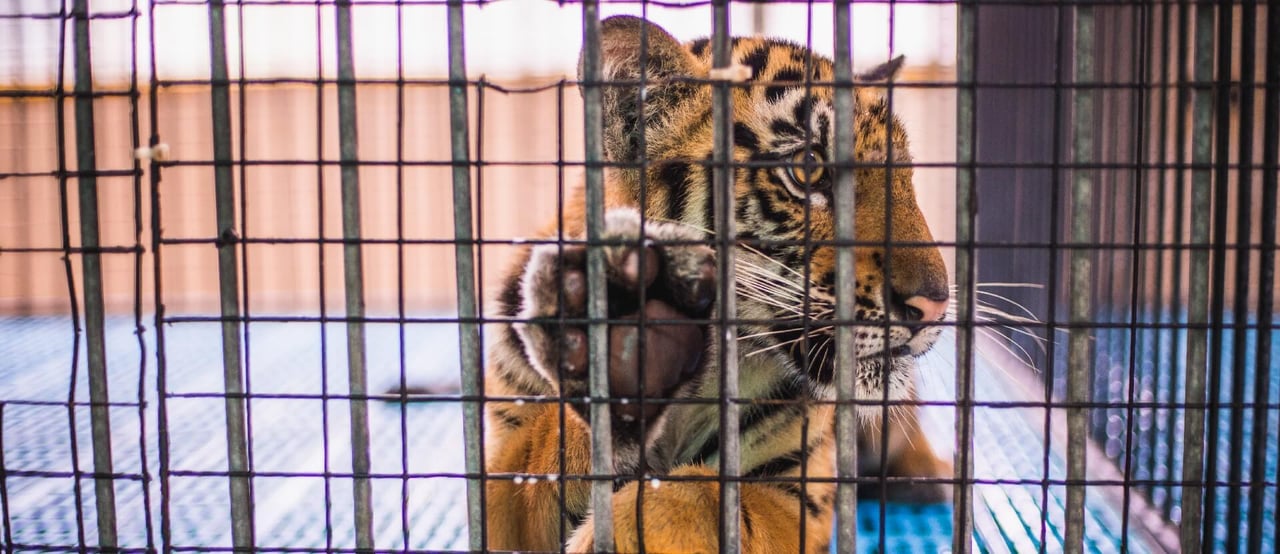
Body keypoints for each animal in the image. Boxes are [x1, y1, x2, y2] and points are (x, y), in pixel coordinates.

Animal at [481, 15, 952, 550]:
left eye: (906, 176)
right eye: (808, 170)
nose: (934, 305)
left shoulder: (796, 497)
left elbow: (698, 496)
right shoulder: (499, 489)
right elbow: (540, 457)